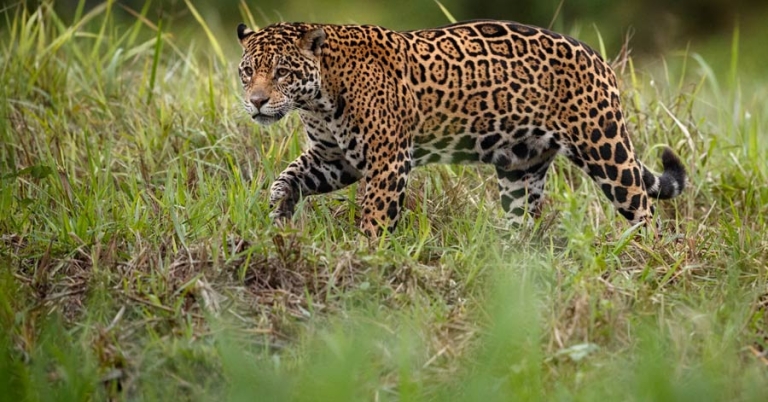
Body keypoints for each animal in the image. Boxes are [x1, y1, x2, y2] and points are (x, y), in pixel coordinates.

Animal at [235, 20, 687, 238]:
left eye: (282, 72)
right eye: (247, 71)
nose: (256, 102)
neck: (318, 99)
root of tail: (600, 59)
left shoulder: (387, 160)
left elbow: (376, 217)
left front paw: (366, 256)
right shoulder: (334, 158)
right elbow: (289, 176)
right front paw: (279, 212)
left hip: (605, 149)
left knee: (644, 211)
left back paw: (648, 260)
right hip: (520, 167)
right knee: (523, 221)